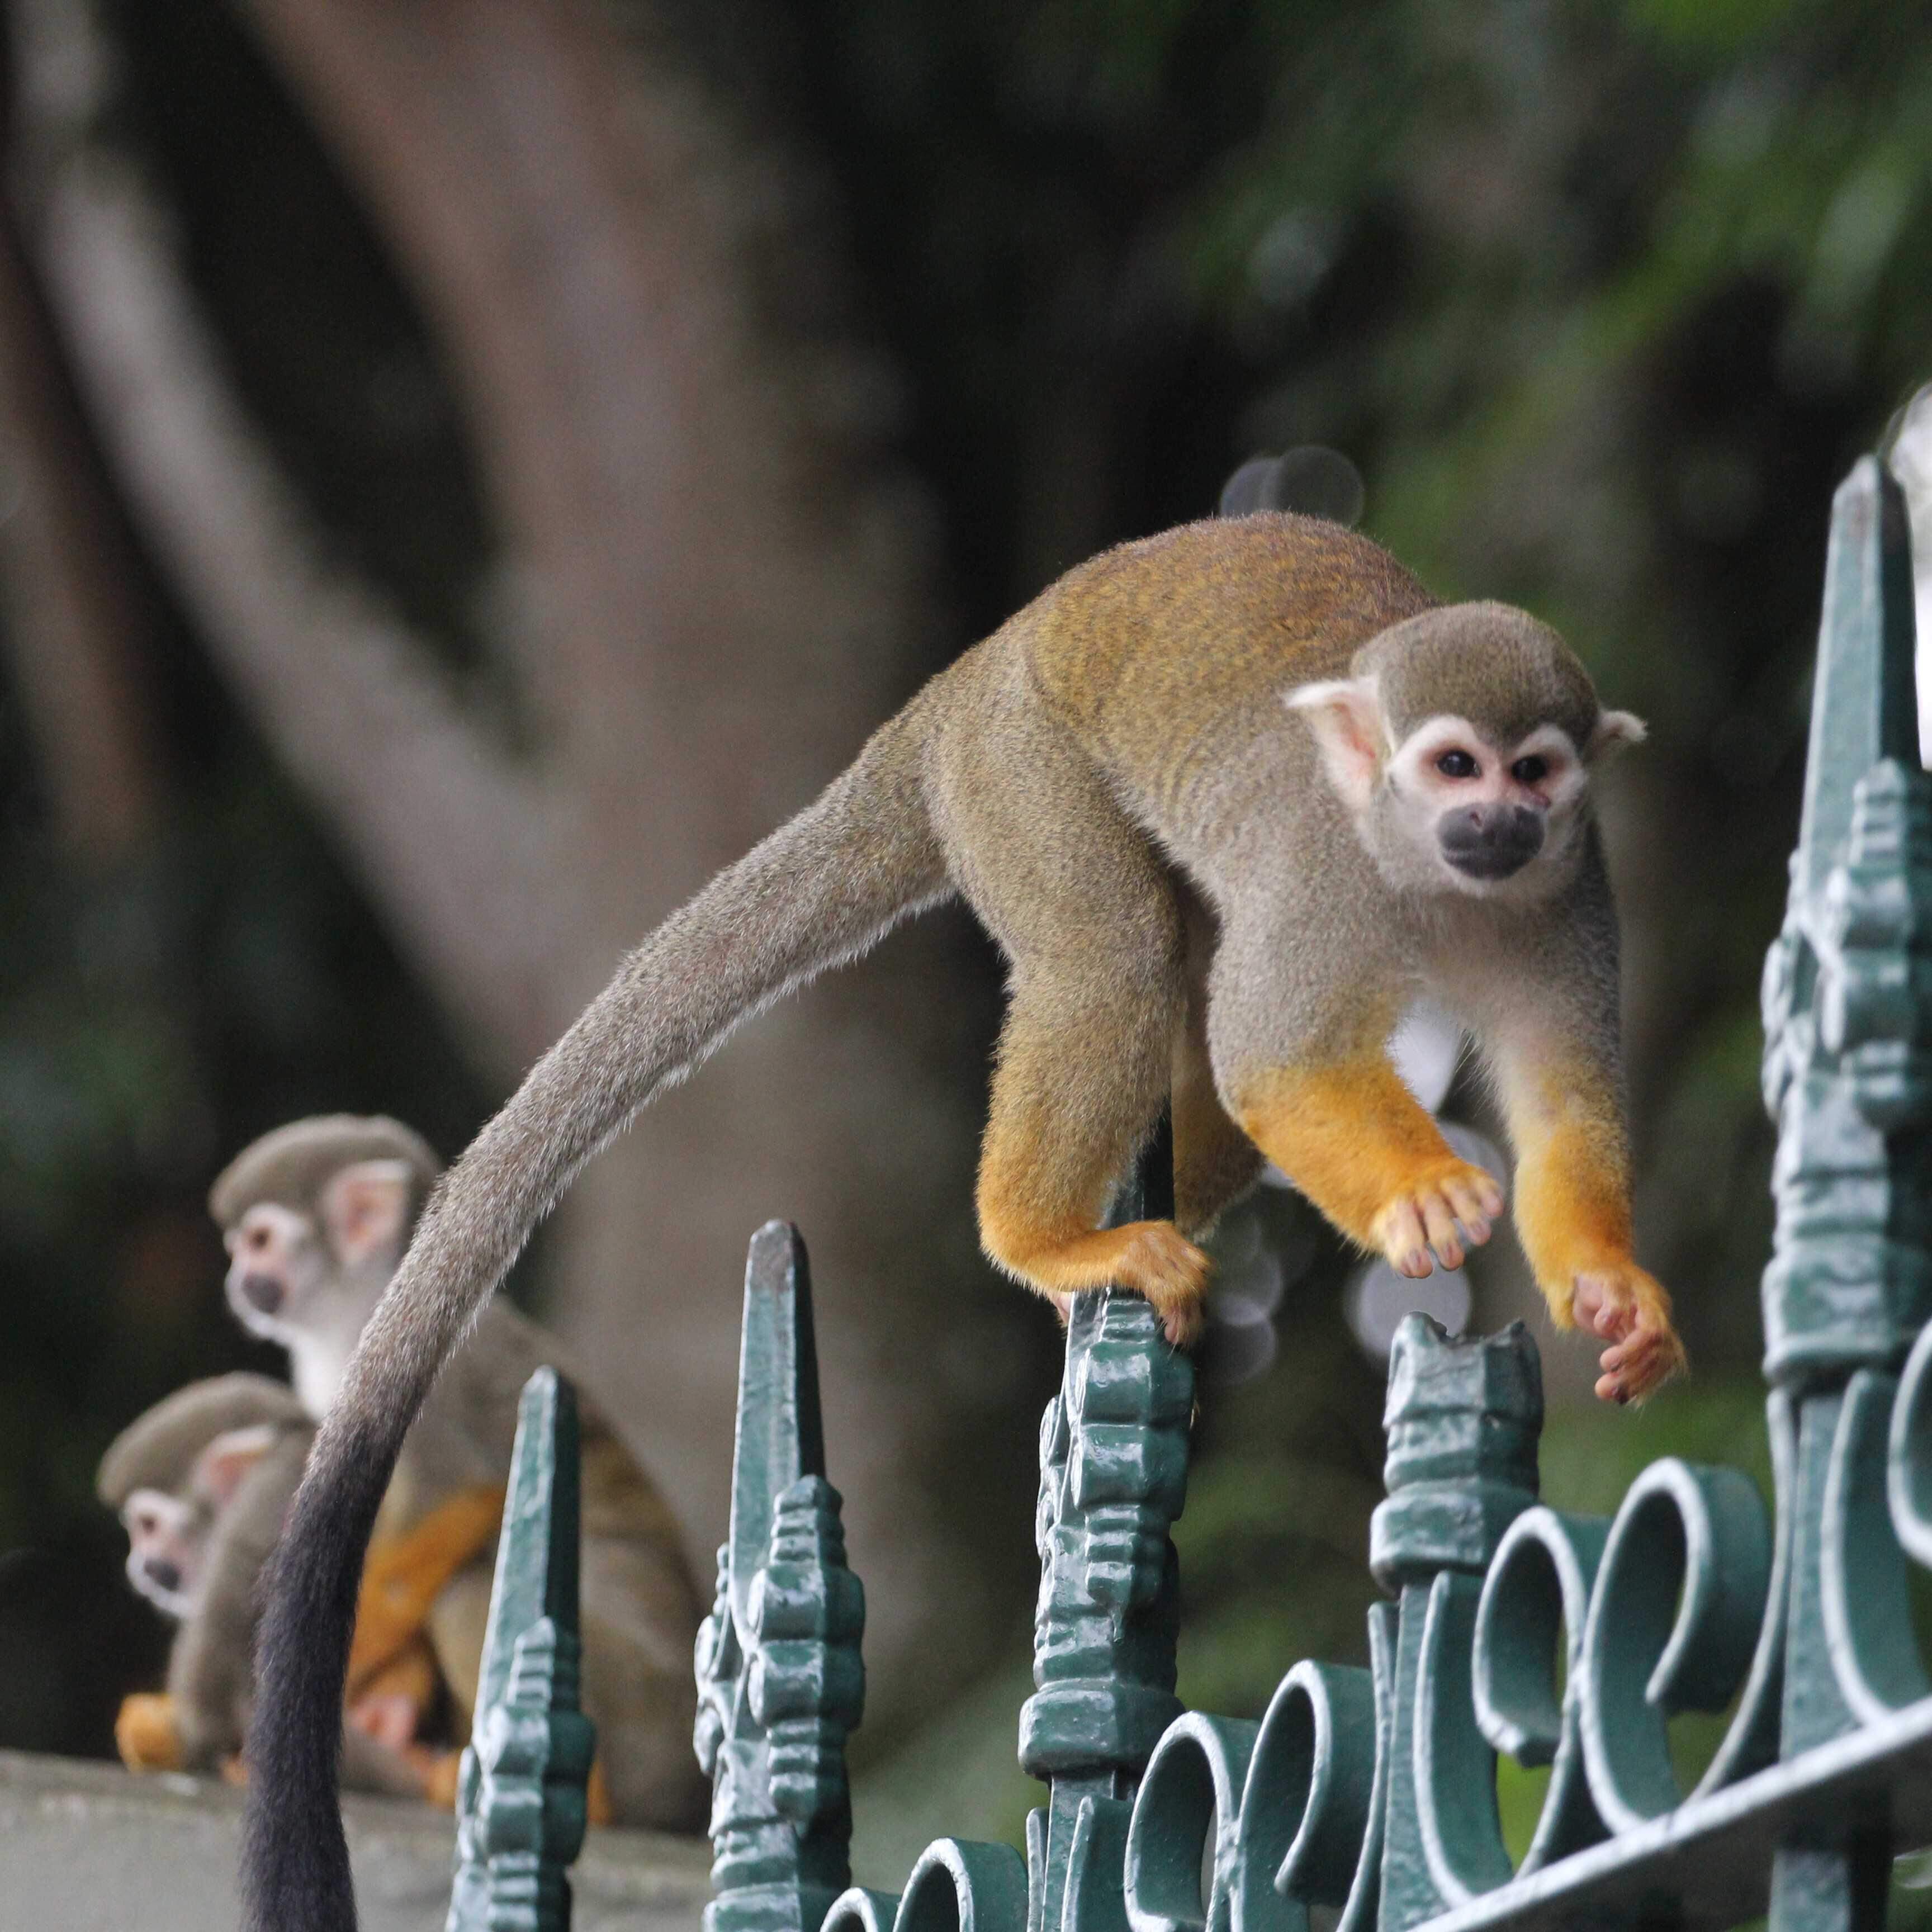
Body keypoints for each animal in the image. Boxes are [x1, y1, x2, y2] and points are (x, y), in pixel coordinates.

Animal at [211, 1112, 711, 1831]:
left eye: (258, 1242)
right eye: (238, 1247)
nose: (238, 1278)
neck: (356, 1312)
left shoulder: (436, 1378)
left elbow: (454, 1498)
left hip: (644, 1713)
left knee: (467, 1591)